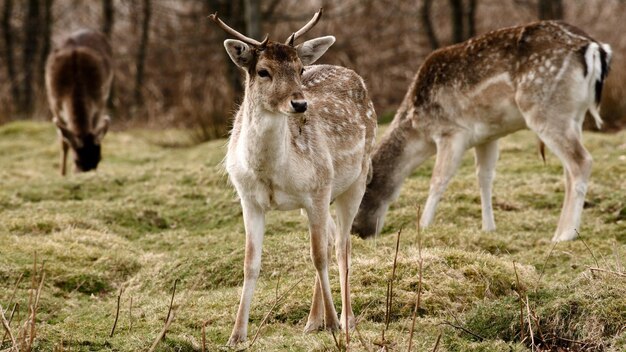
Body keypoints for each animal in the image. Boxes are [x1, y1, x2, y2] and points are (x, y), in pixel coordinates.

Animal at [45, 28, 113, 175]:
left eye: (99, 158)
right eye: (76, 160)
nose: (85, 173)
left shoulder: (99, 103)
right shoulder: (54, 105)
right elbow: (64, 142)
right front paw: (62, 174)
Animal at [210, 8, 376, 346]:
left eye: (300, 69)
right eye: (263, 71)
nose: (300, 104)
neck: (272, 175)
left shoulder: (317, 188)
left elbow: (318, 257)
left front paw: (335, 325)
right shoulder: (248, 199)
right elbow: (250, 264)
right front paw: (236, 335)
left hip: (355, 179)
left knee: (342, 247)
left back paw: (346, 320)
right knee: (330, 240)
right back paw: (313, 321)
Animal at [352, 20, 608, 243]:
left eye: (362, 193)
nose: (358, 233)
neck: (419, 129)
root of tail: (594, 48)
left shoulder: (451, 131)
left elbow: (438, 180)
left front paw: (423, 226)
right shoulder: (487, 136)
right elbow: (484, 178)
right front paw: (488, 228)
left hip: (544, 110)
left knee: (582, 161)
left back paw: (566, 235)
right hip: (574, 116)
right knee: (568, 169)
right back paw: (558, 232)